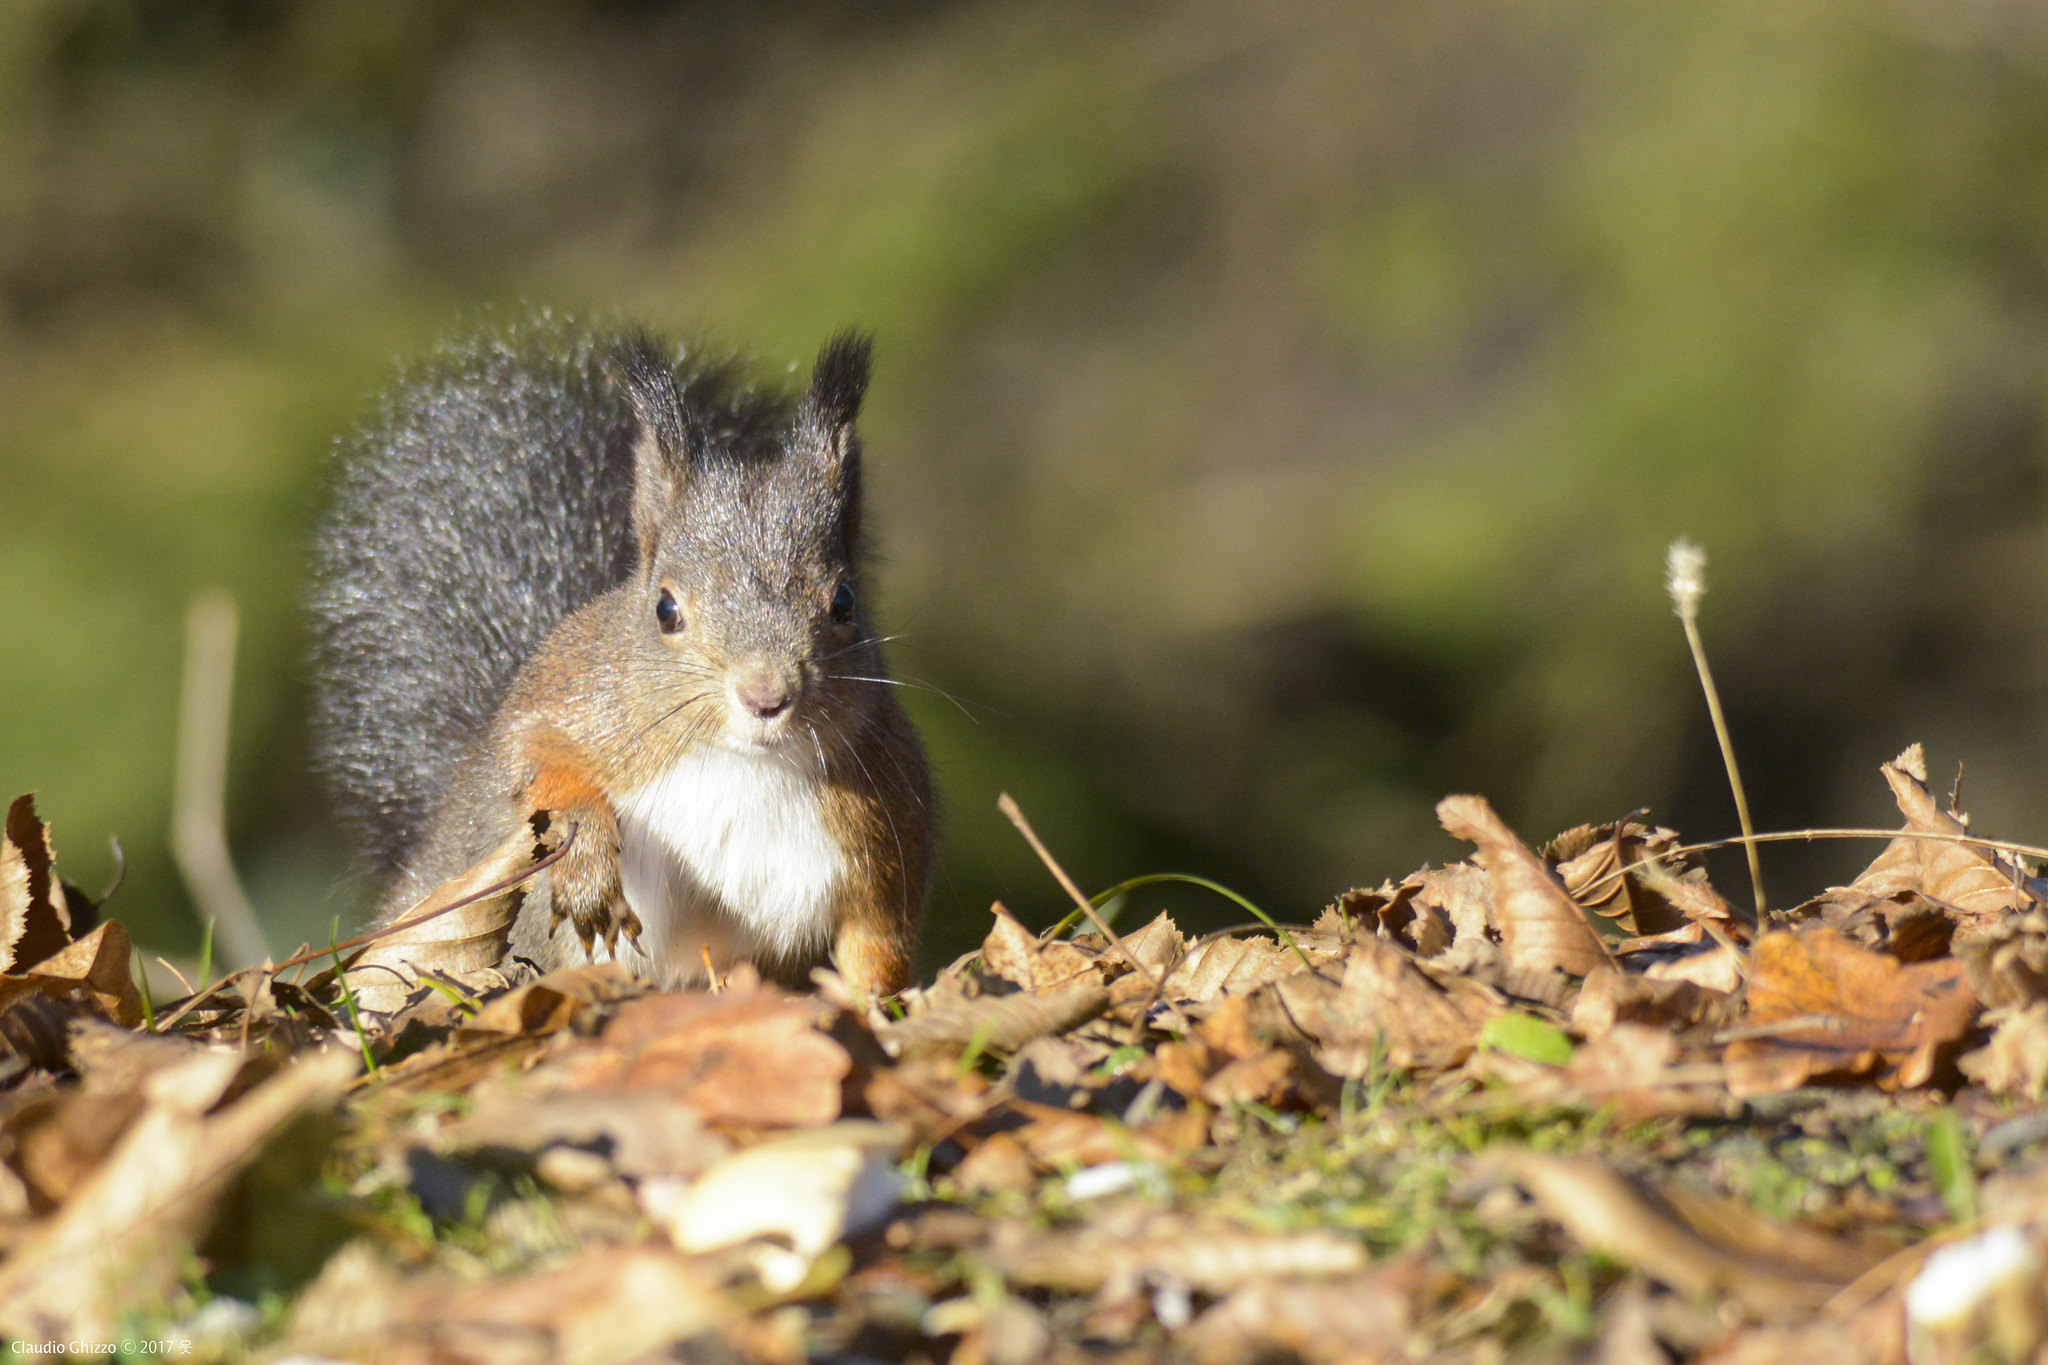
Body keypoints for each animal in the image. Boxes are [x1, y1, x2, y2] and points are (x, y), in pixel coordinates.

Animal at [308, 314, 934, 997]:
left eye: (845, 602)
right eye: (665, 609)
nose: (766, 695)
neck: (744, 764)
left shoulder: (885, 825)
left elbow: (878, 938)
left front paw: (874, 1002)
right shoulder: (570, 701)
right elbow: (536, 759)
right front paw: (585, 865)